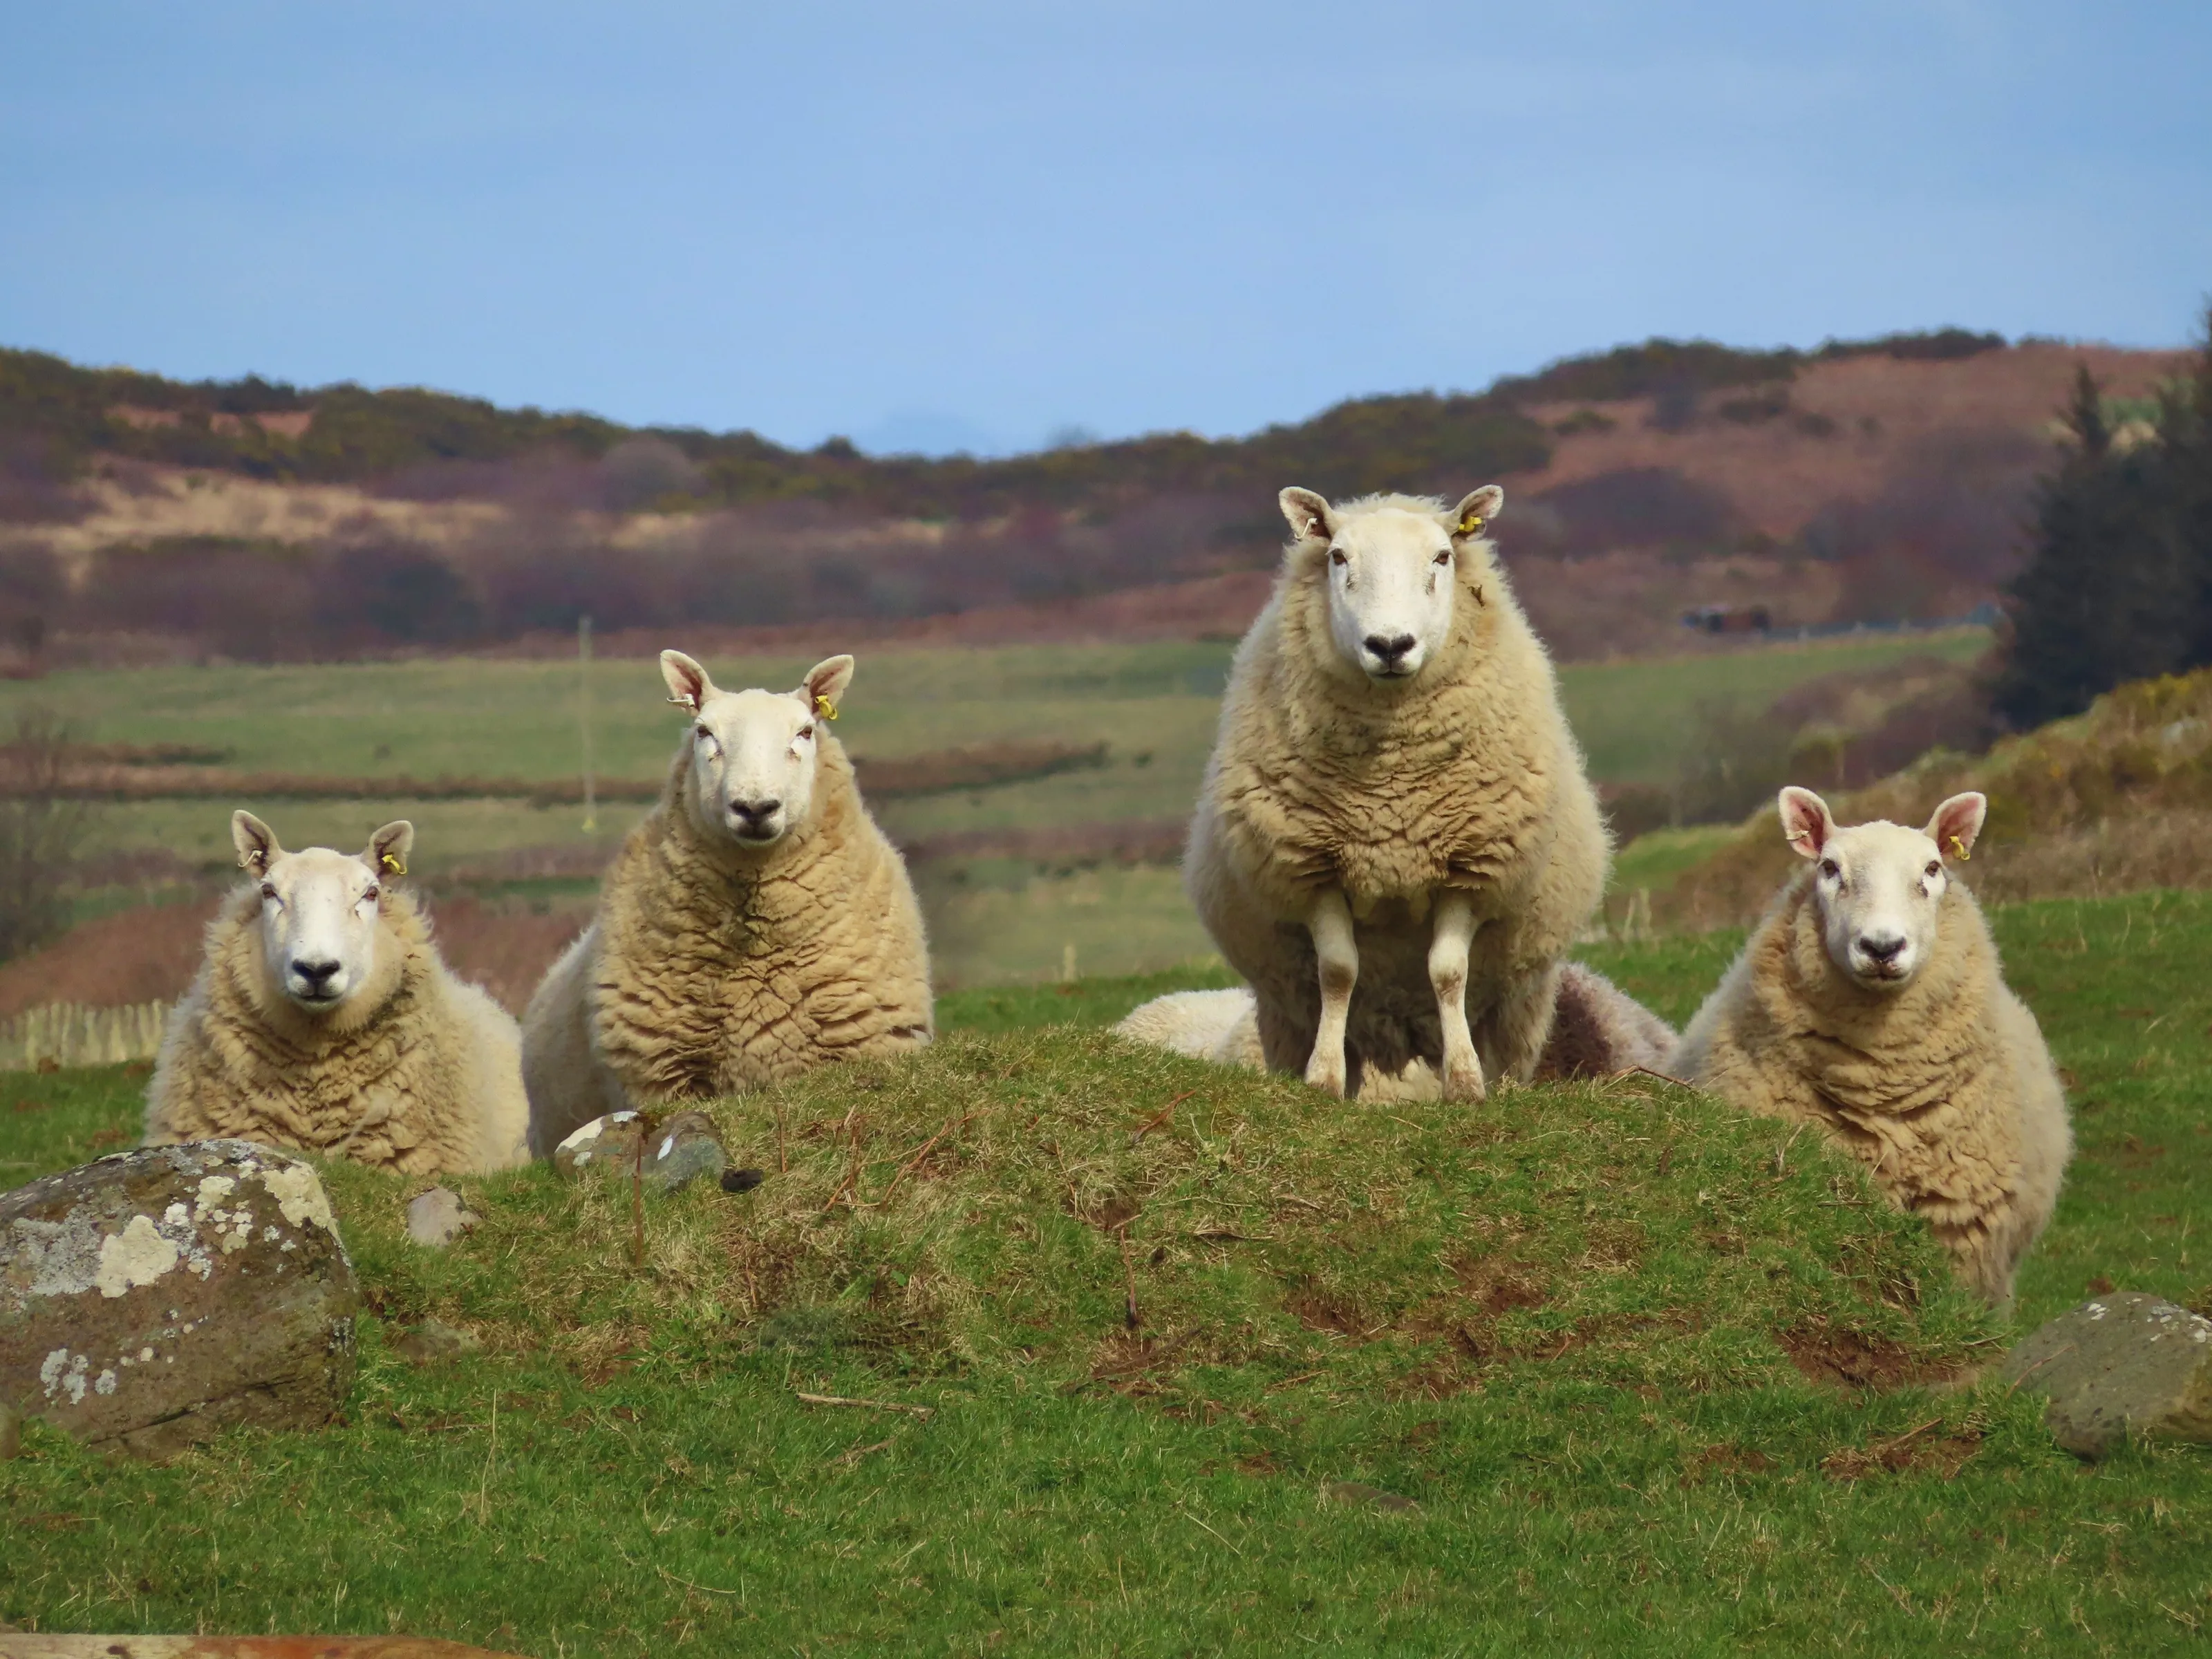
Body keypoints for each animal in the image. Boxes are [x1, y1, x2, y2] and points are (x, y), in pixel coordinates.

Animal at [1183, 485, 1610, 1104]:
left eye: (1442, 557)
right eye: (1337, 557)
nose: (1389, 645)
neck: (1390, 782)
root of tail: (1401, 1042)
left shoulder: (1469, 866)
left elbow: (1448, 973)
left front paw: (1465, 1083)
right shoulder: (1315, 866)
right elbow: (1338, 972)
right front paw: (1323, 1079)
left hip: (1520, 1002)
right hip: (1283, 1008)